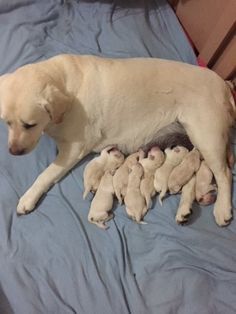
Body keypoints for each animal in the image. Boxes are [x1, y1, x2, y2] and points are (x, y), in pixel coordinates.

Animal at [0, 54, 234, 226]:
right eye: (6, 122)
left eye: (29, 124)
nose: (13, 151)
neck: (64, 83)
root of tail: (225, 84)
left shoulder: (74, 149)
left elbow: (45, 175)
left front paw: (28, 198)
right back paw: (186, 210)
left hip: (206, 136)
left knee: (224, 175)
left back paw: (222, 209)